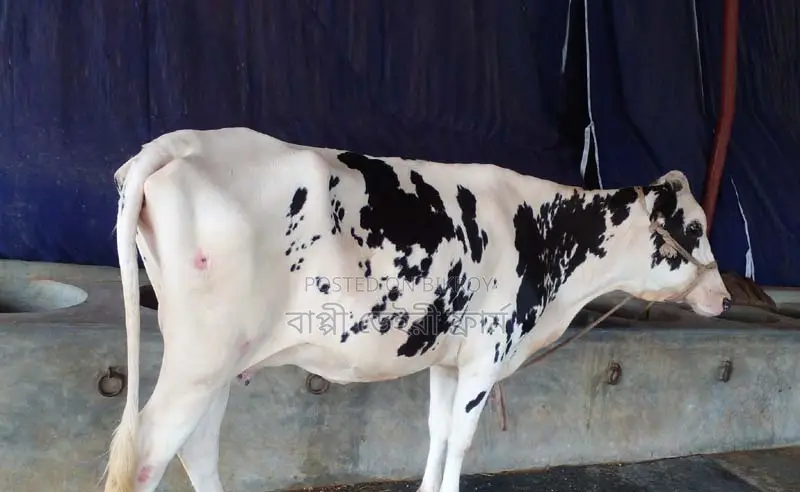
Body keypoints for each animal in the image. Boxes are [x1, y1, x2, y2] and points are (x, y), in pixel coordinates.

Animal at [104, 127, 731, 492]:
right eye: (695, 228)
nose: (724, 297)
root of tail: (181, 142)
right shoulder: (483, 357)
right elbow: (462, 439)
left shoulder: (446, 360)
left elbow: (436, 431)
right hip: (199, 361)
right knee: (151, 454)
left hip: (219, 362)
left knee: (197, 449)